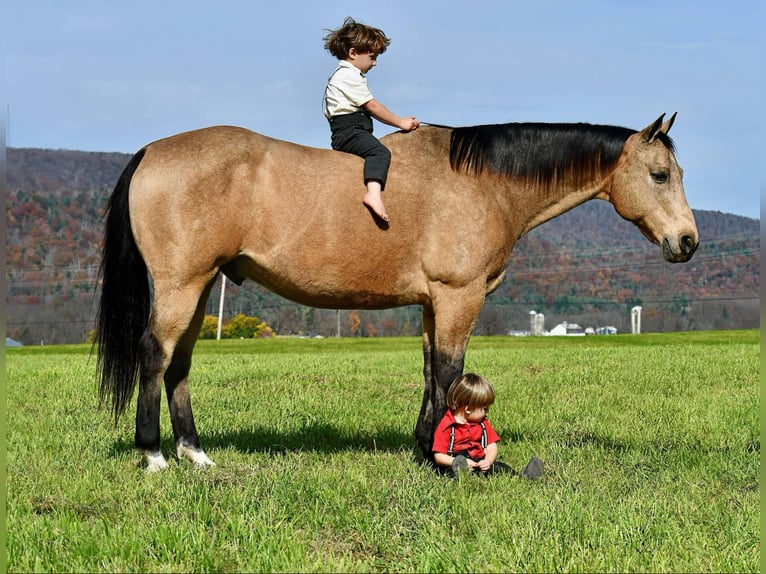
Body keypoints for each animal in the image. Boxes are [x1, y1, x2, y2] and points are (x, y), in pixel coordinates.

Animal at [94, 112, 696, 472]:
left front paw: (423, 449)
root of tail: (152, 151)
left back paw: (195, 453)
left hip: (199, 290)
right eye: (660, 175)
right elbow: (452, 374)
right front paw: (448, 460)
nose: (687, 242)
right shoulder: (458, 297)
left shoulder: (433, 303)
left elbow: (432, 375)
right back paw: (154, 456)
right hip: (181, 286)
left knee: (179, 364)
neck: (481, 182)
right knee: (155, 355)